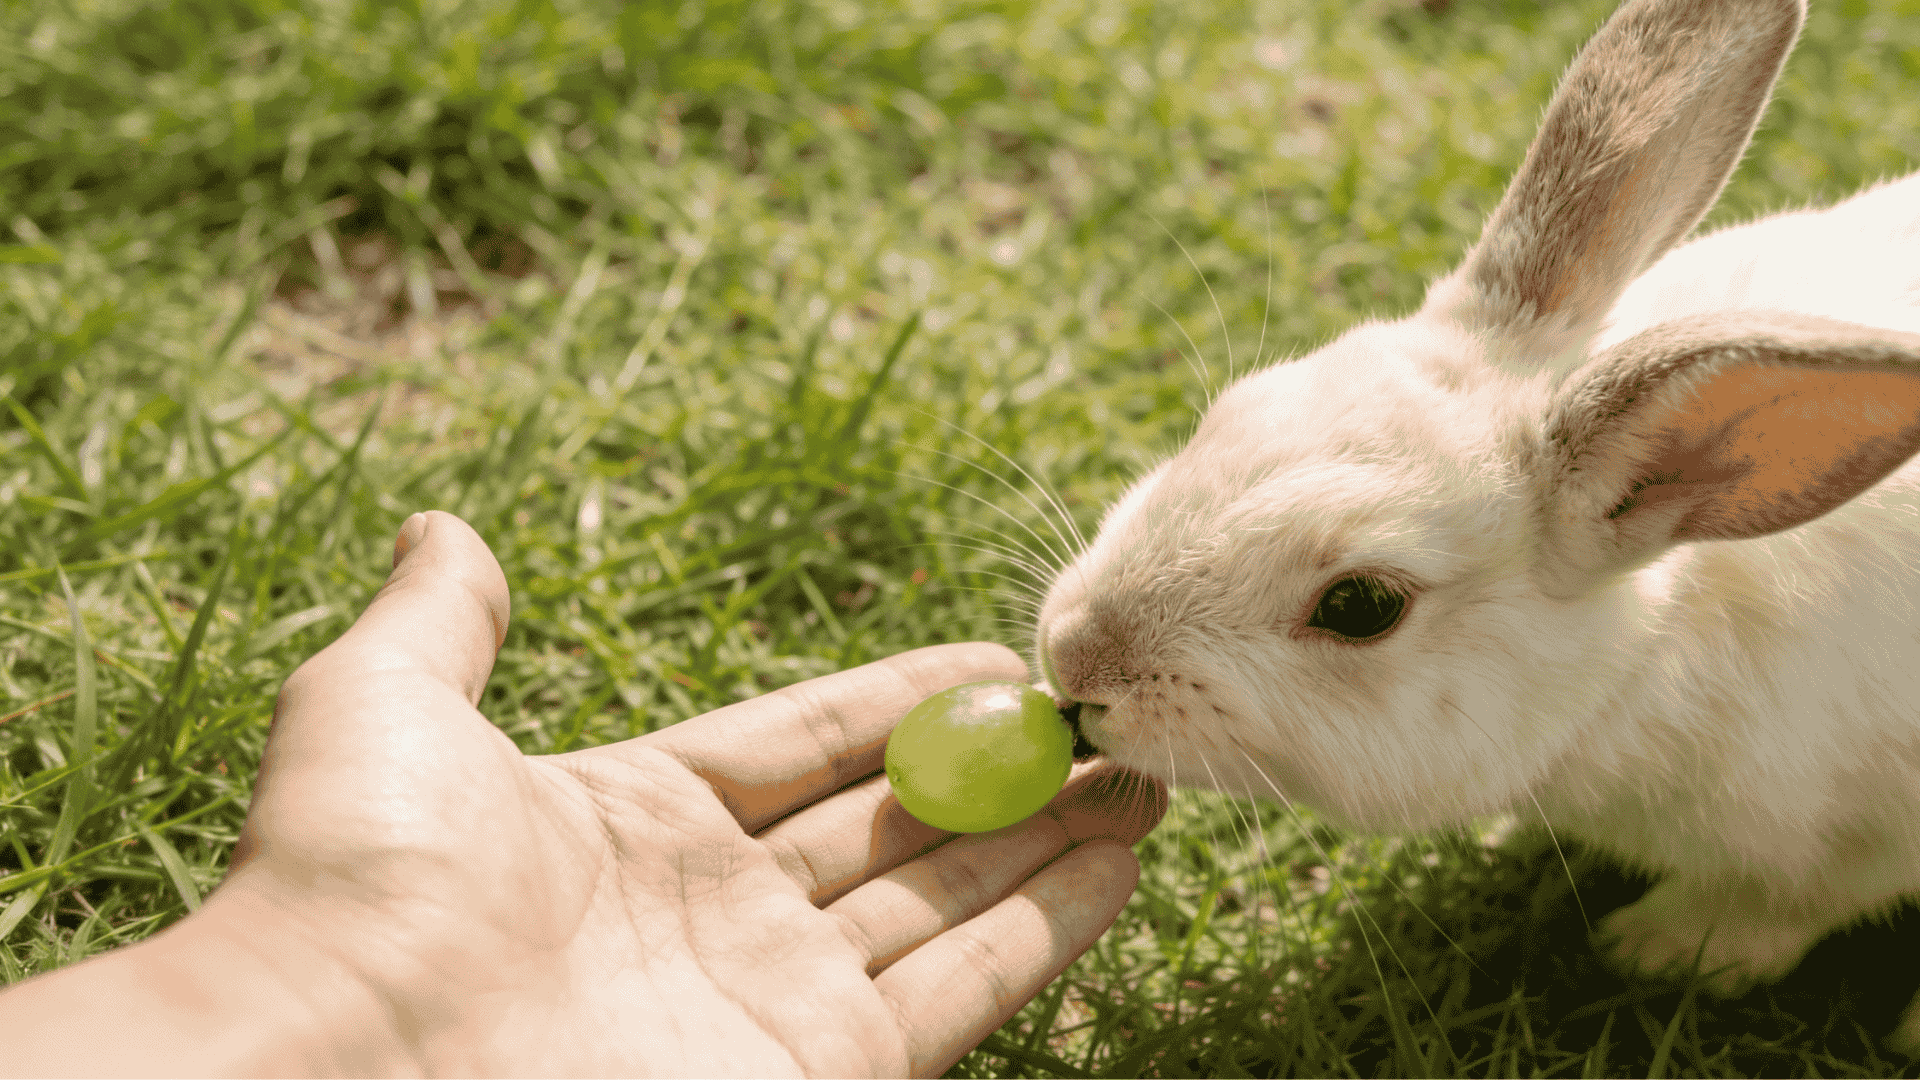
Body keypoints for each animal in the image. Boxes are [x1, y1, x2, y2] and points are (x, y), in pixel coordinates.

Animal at [1034, 0, 1920, 1053]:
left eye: (1362, 606)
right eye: (1229, 413)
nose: (1075, 660)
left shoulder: (1851, 843)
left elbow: (1781, 907)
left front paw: (1658, 950)